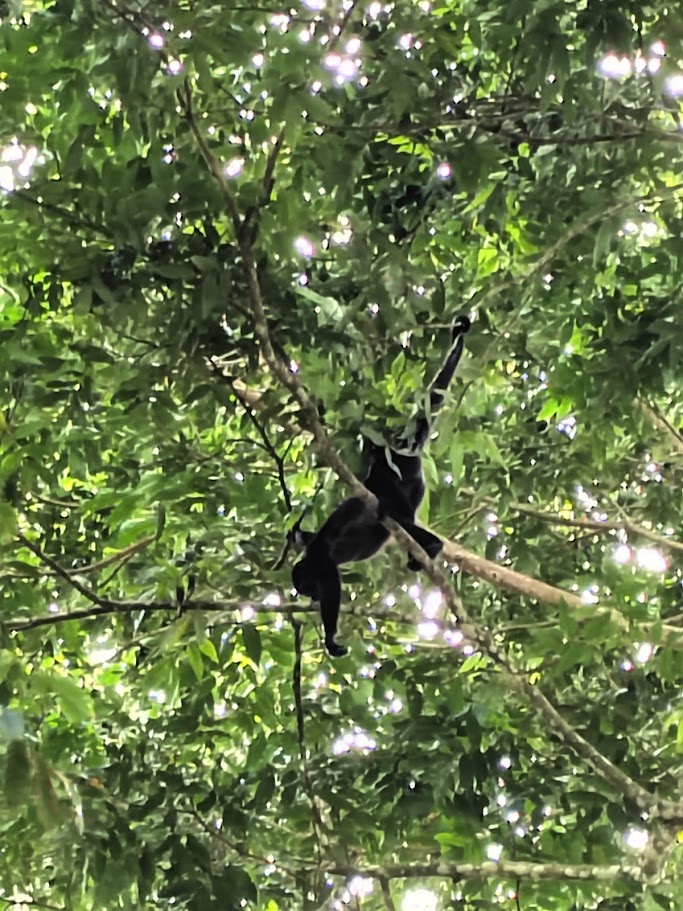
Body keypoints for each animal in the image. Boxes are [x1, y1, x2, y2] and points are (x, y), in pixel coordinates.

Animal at [291, 316, 471, 658]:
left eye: (307, 587)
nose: (311, 598)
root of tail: (398, 449)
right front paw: (294, 533)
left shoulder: (320, 560)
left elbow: (332, 581)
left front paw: (330, 637)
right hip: (415, 485)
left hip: (390, 480)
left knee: (399, 518)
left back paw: (430, 545)